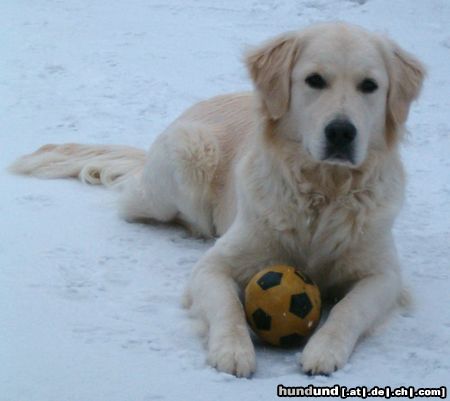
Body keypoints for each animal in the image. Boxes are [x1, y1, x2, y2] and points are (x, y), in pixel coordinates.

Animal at [11, 21, 426, 376]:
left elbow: (349, 310)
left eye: (369, 86)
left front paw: (324, 351)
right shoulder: (214, 265)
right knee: (133, 202)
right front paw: (233, 350)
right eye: (314, 81)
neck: (324, 190)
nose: (341, 132)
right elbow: (227, 305)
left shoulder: (383, 275)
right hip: (187, 154)